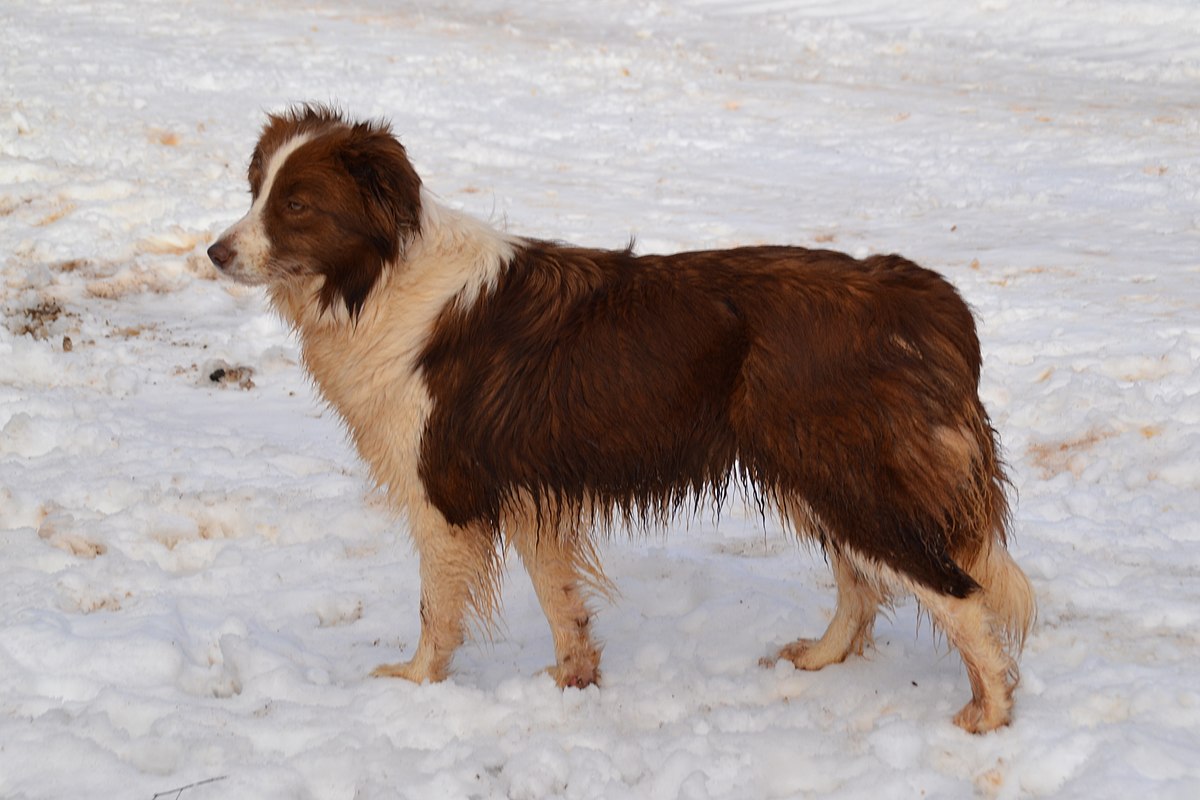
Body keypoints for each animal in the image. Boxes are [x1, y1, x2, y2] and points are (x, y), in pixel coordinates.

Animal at [206, 104, 1032, 734]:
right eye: (256, 188)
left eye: (297, 205)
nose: (214, 252)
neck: (378, 279)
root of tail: (923, 296)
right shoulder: (528, 487)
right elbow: (559, 601)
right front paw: (574, 680)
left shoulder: (446, 493)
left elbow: (435, 611)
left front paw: (413, 687)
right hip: (815, 475)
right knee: (864, 586)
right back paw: (823, 660)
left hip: (846, 477)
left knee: (954, 589)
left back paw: (989, 713)